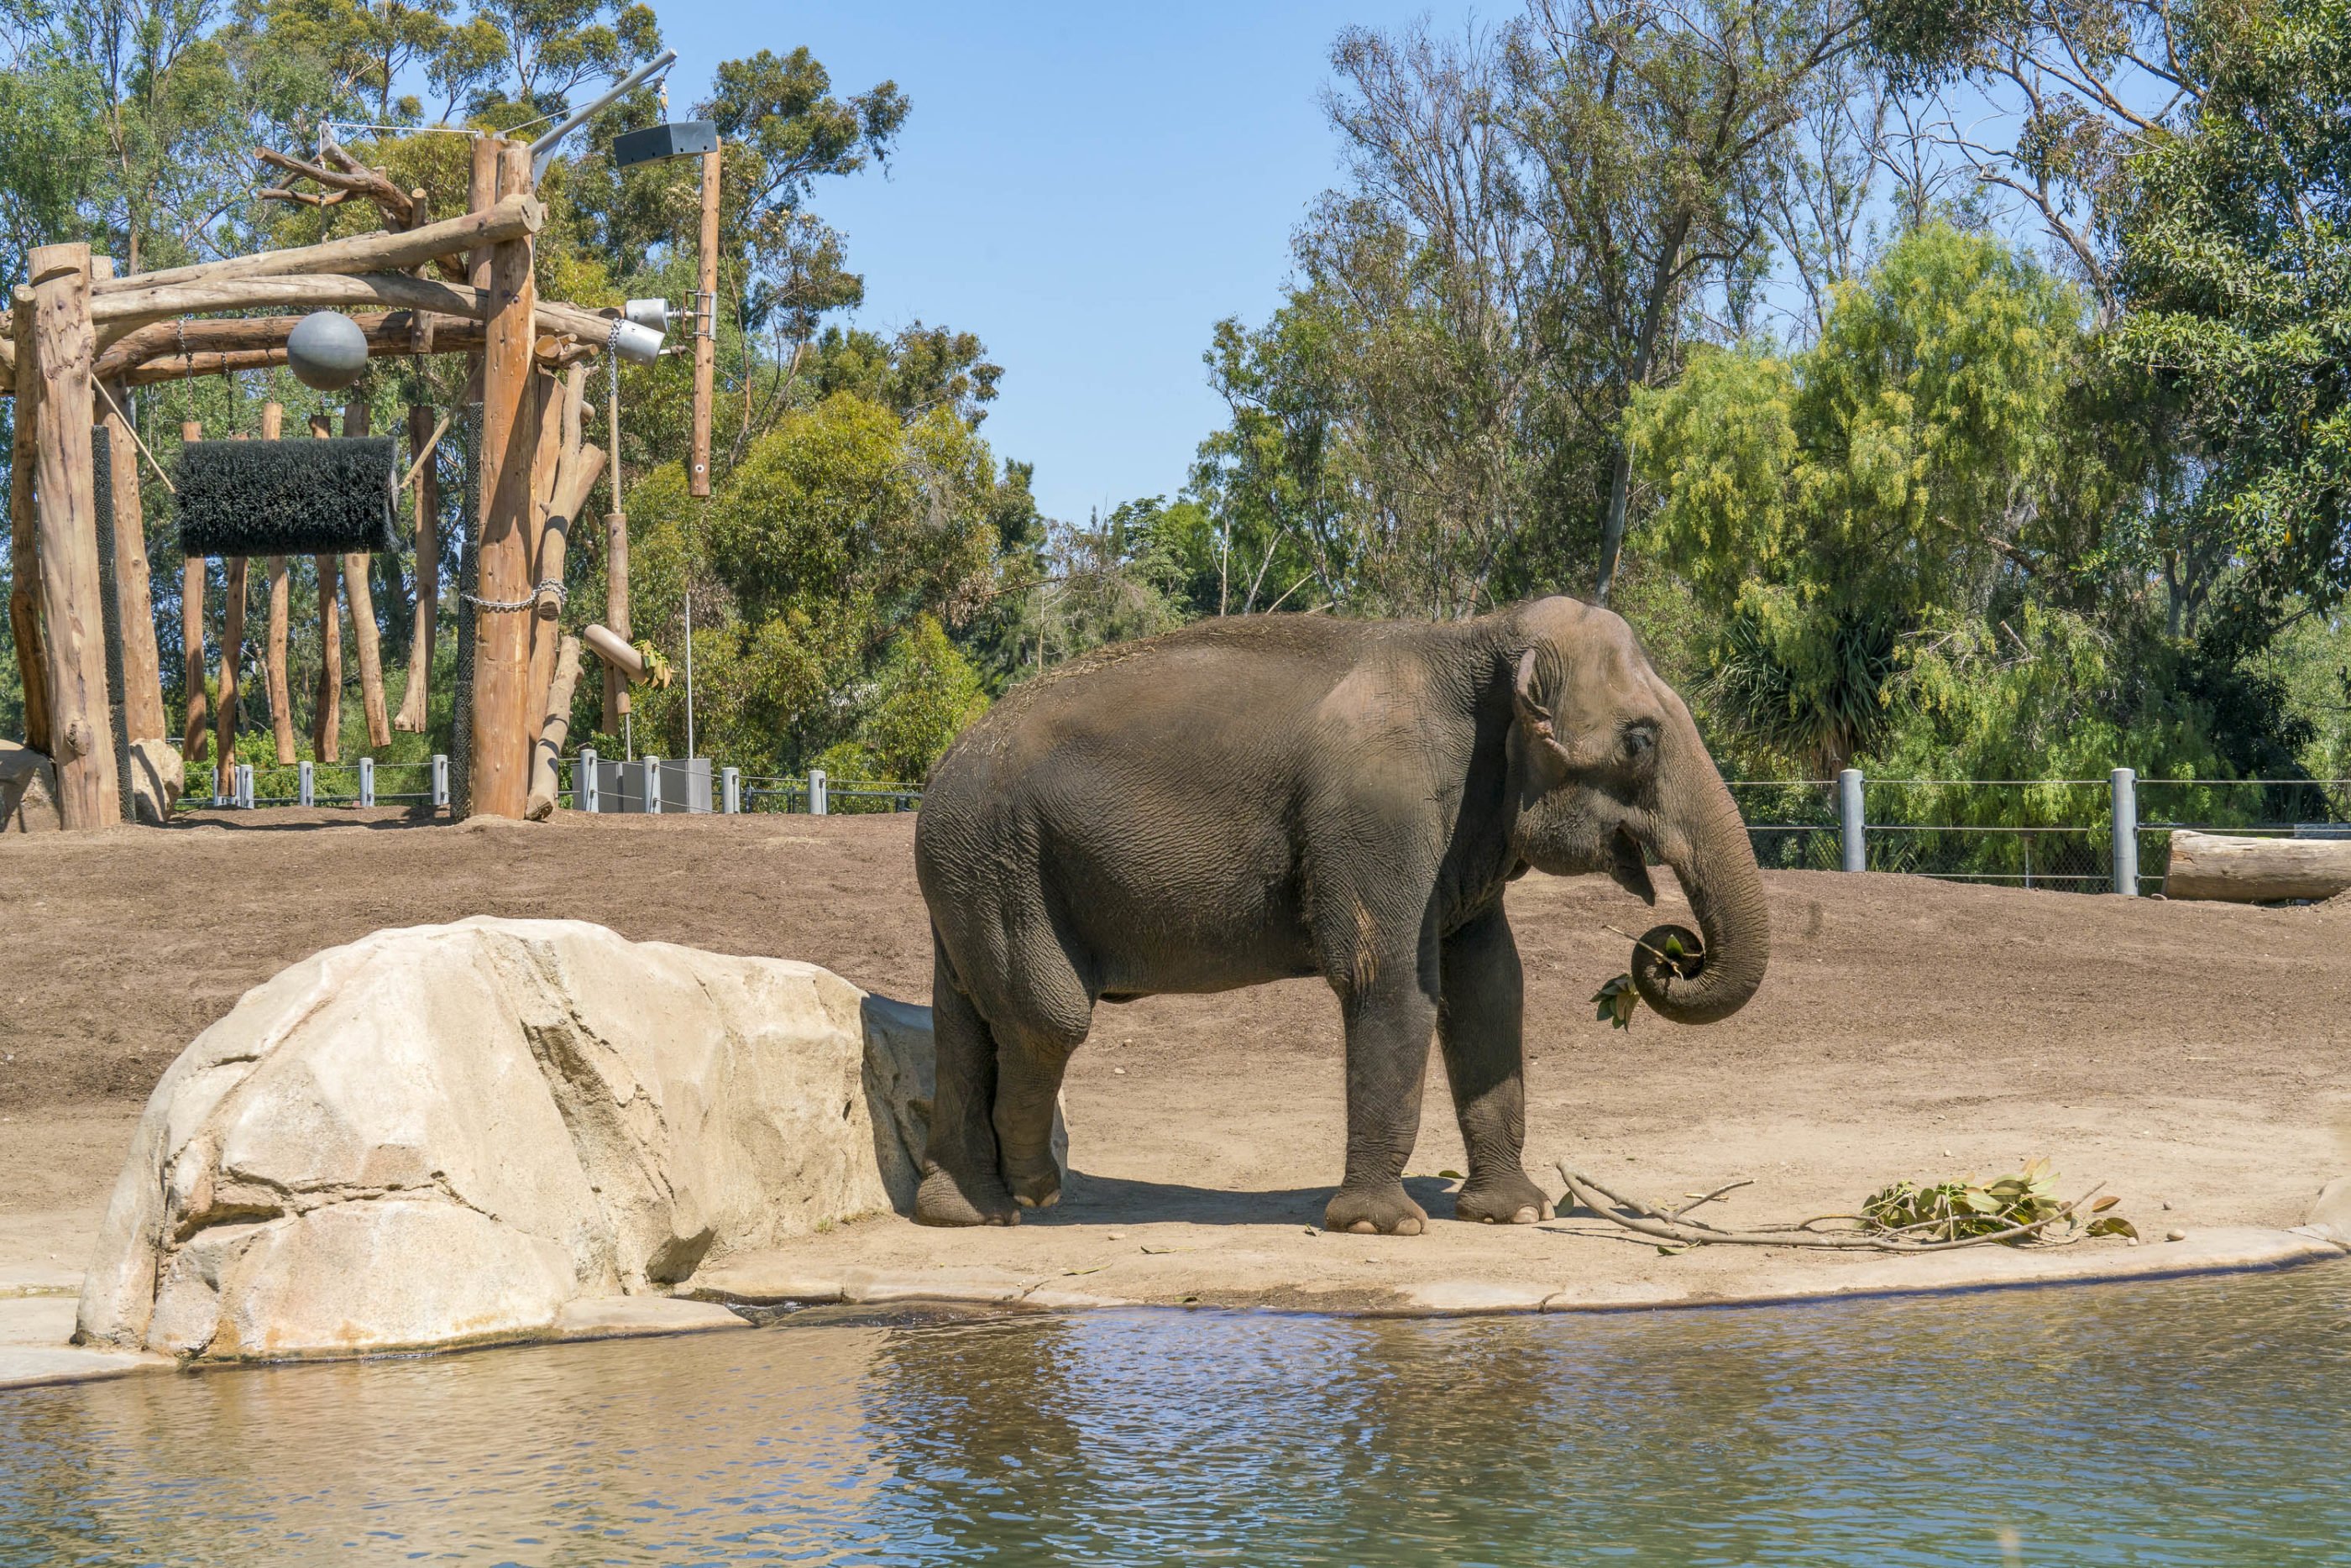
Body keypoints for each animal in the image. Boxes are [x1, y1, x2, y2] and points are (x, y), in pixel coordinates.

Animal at [907, 594, 1767, 1231]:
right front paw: (1383, 1225)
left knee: (964, 1018)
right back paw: (1033, 1192)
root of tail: (943, 764)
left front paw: (1515, 1214)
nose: (1675, 951)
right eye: (1640, 741)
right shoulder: (1375, 814)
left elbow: (1492, 988)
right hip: (1001, 860)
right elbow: (1391, 981)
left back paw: (965, 1213)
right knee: (1045, 1017)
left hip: (968, 876)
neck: (1476, 638)